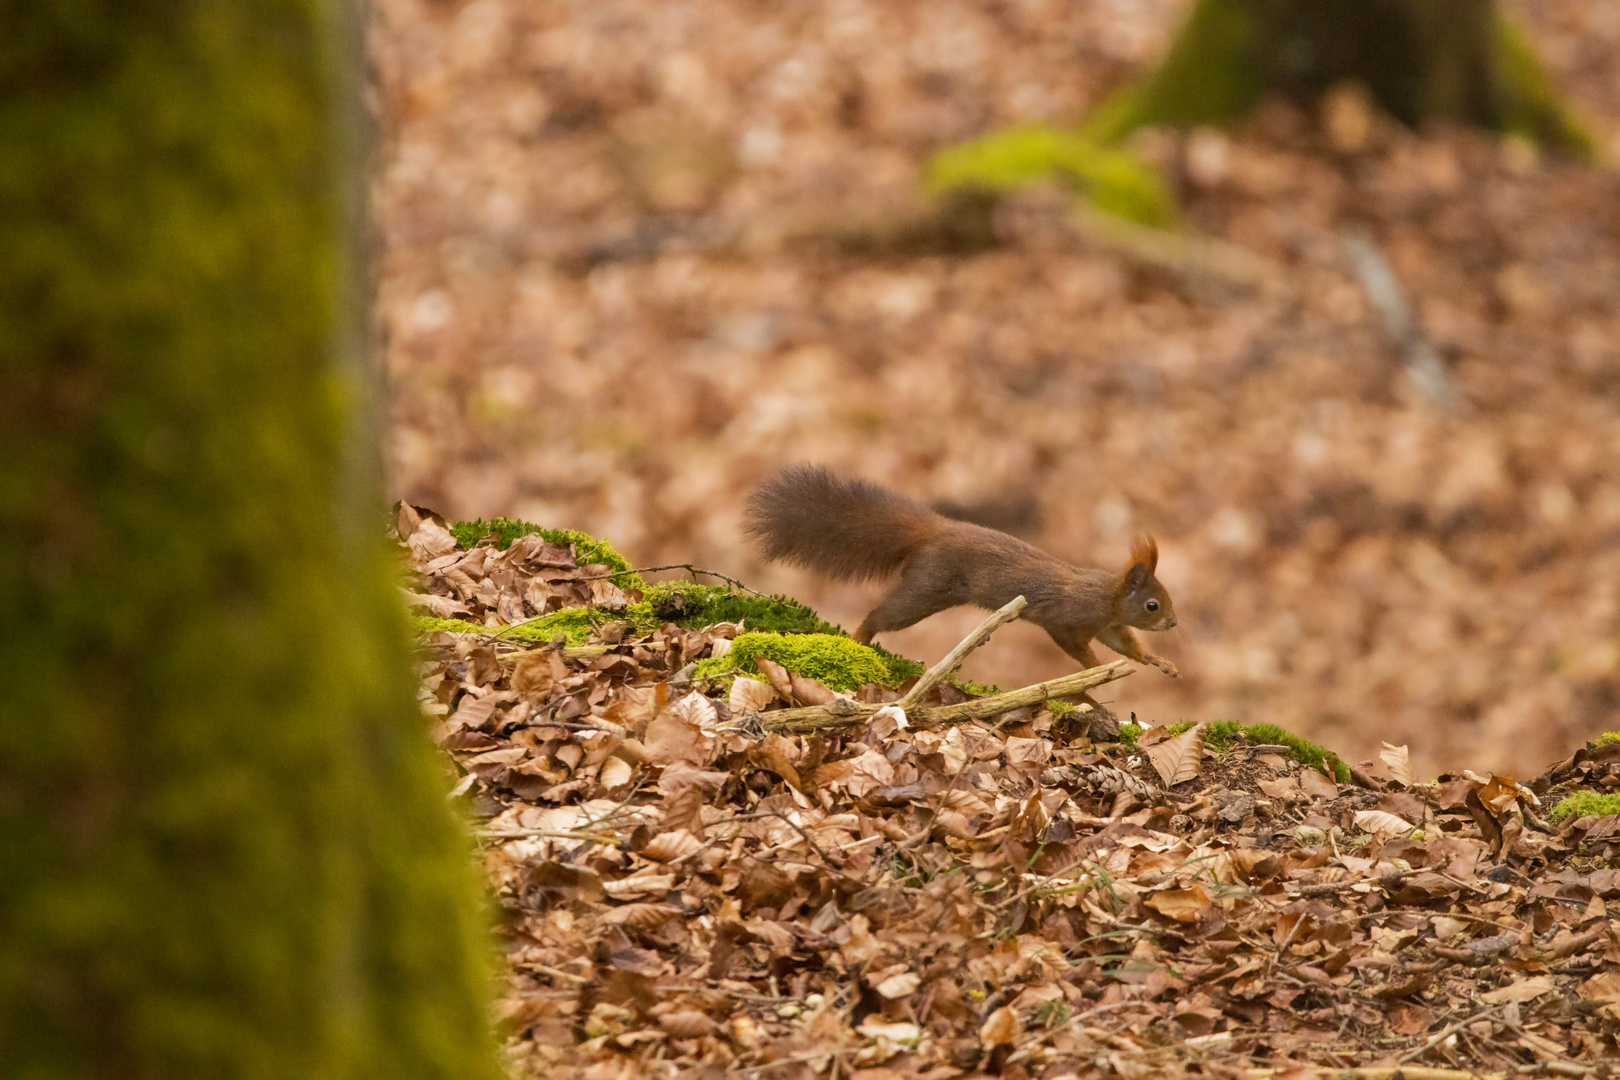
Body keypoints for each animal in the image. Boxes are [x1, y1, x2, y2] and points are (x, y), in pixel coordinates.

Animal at [741, 466, 1179, 676]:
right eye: (1153, 605)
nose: (1174, 624)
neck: (1108, 596)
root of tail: (937, 530)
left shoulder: (1110, 626)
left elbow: (1126, 644)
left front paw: (1158, 662)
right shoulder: (1068, 621)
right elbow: (1075, 645)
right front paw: (1097, 669)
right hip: (926, 588)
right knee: (882, 615)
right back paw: (860, 639)